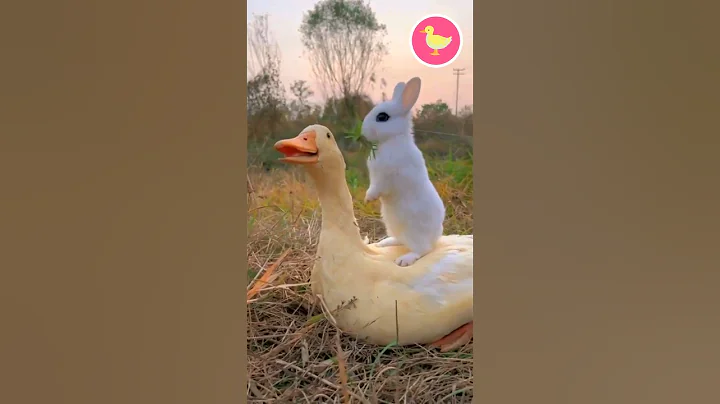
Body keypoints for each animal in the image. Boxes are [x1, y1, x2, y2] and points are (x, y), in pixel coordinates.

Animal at [360, 77, 446, 267]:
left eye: (382, 117)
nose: (363, 131)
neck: (391, 140)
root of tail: (435, 236)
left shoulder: (386, 177)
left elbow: (377, 188)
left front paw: (369, 198)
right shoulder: (375, 176)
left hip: (414, 233)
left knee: (422, 250)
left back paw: (404, 259)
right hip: (392, 225)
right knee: (400, 240)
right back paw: (384, 243)